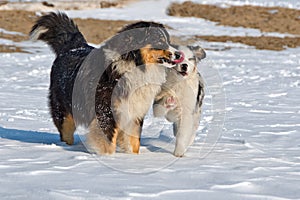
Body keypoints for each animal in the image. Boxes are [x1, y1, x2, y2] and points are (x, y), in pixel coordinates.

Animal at [30, 11, 180, 154]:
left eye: (168, 40)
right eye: (159, 41)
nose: (179, 54)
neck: (133, 65)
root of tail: (72, 48)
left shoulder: (134, 114)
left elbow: (134, 143)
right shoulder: (106, 112)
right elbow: (107, 144)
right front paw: (108, 159)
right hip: (64, 112)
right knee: (66, 133)